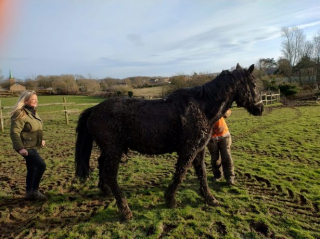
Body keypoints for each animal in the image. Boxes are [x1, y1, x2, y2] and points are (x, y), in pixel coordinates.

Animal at [74, 64, 262, 220]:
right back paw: (125, 210)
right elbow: (181, 173)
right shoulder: (188, 149)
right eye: (254, 85)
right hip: (114, 150)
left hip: (109, 150)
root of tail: (94, 109)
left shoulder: (199, 149)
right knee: (111, 175)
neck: (201, 107)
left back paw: (104, 190)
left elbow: (202, 173)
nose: (260, 108)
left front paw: (209, 198)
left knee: (101, 165)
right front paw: (170, 199)